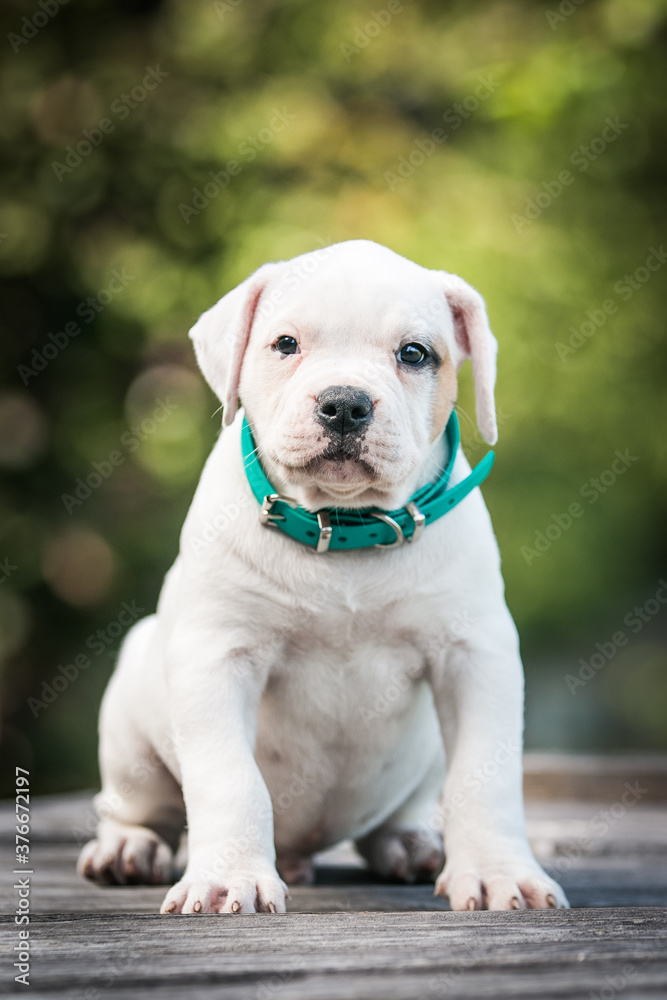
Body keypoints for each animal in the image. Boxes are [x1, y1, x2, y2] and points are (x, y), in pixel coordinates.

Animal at [78, 240, 568, 916]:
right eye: (285, 344)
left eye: (414, 353)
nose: (344, 403)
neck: (344, 527)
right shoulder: (216, 657)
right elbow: (229, 778)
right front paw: (229, 877)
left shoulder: (476, 655)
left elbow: (484, 777)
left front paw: (499, 873)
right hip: (131, 721)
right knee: (137, 806)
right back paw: (127, 848)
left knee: (401, 811)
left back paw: (410, 842)